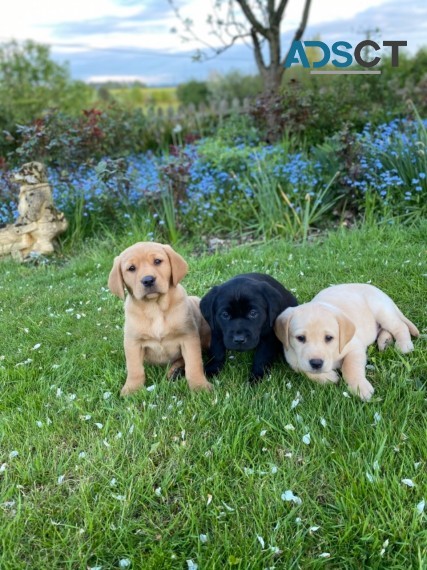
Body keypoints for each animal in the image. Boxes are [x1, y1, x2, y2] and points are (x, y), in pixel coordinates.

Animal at [276, 282, 420, 400]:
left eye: (329, 338)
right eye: (300, 338)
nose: (316, 363)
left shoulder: (355, 348)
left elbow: (350, 367)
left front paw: (360, 387)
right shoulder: (292, 358)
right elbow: (303, 369)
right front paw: (329, 377)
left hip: (382, 312)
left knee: (400, 326)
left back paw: (404, 345)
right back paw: (385, 341)